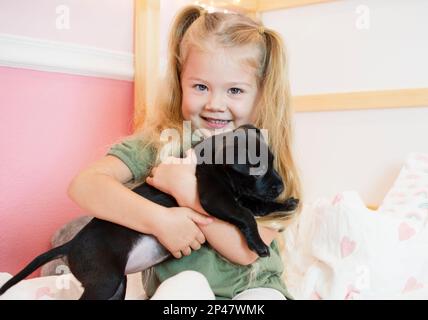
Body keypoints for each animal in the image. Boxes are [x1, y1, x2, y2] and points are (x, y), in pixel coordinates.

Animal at [0, 124, 298, 298]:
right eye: (259, 168)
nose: (282, 185)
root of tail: (71, 243)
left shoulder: (240, 196)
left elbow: (259, 206)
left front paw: (286, 204)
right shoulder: (213, 197)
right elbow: (246, 214)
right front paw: (258, 244)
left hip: (116, 285)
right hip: (105, 281)